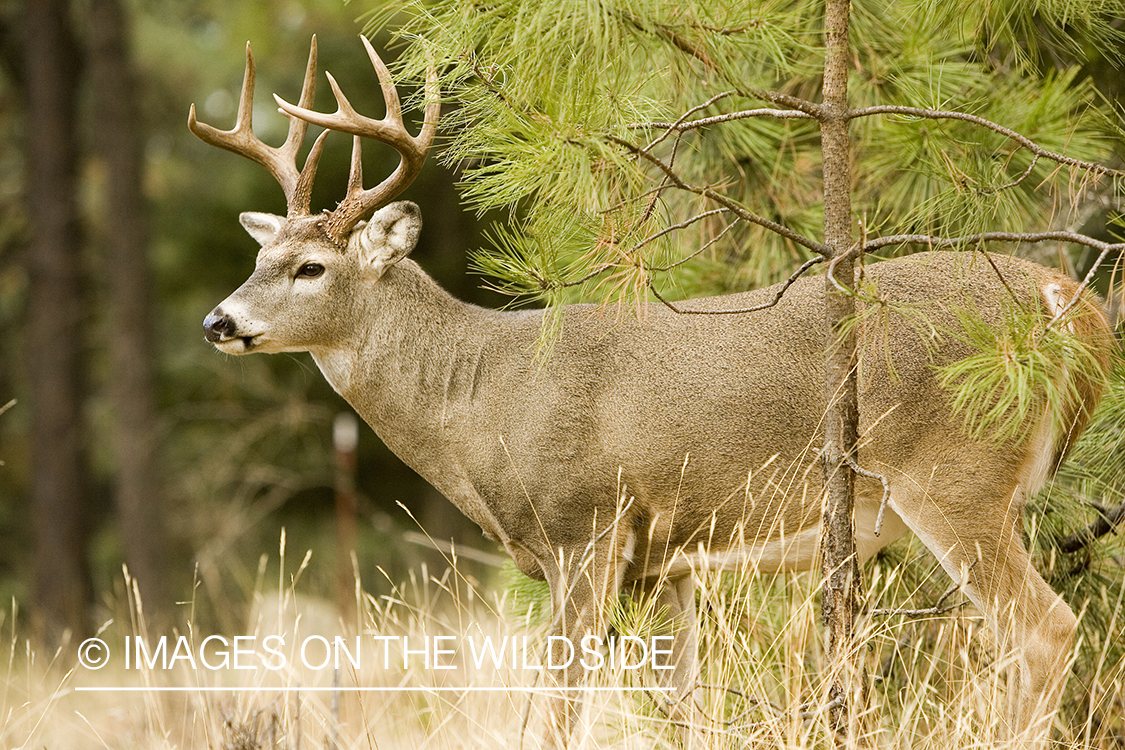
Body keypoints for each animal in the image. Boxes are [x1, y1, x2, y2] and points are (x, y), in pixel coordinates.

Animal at [192, 35, 1112, 748]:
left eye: (311, 268)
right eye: (260, 256)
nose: (218, 321)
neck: (479, 396)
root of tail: (1063, 300)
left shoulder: (584, 526)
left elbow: (556, 709)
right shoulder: (668, 561)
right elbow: (685, 708)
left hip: (953, 474)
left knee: (1044, 630)